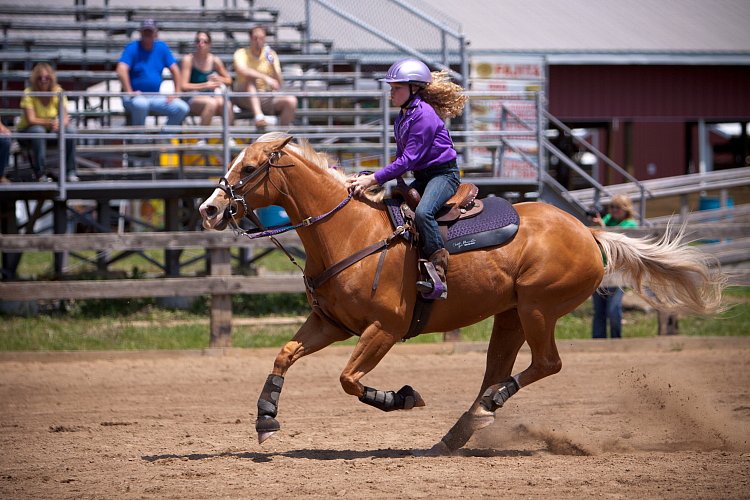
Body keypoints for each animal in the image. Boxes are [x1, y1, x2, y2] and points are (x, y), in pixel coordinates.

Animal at [200, 135, 728, 456]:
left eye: (249, 167)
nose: (209, 209)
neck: (350, 232)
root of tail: (590, 234)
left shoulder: (384, 329)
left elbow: (349, 379)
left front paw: (402, 397)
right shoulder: (331, 323)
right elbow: (285, 354)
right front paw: (266, 417)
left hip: (538, 308)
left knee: (546, 364)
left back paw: (488, 407)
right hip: (511, 317)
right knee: (498, 371)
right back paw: (462, 428)